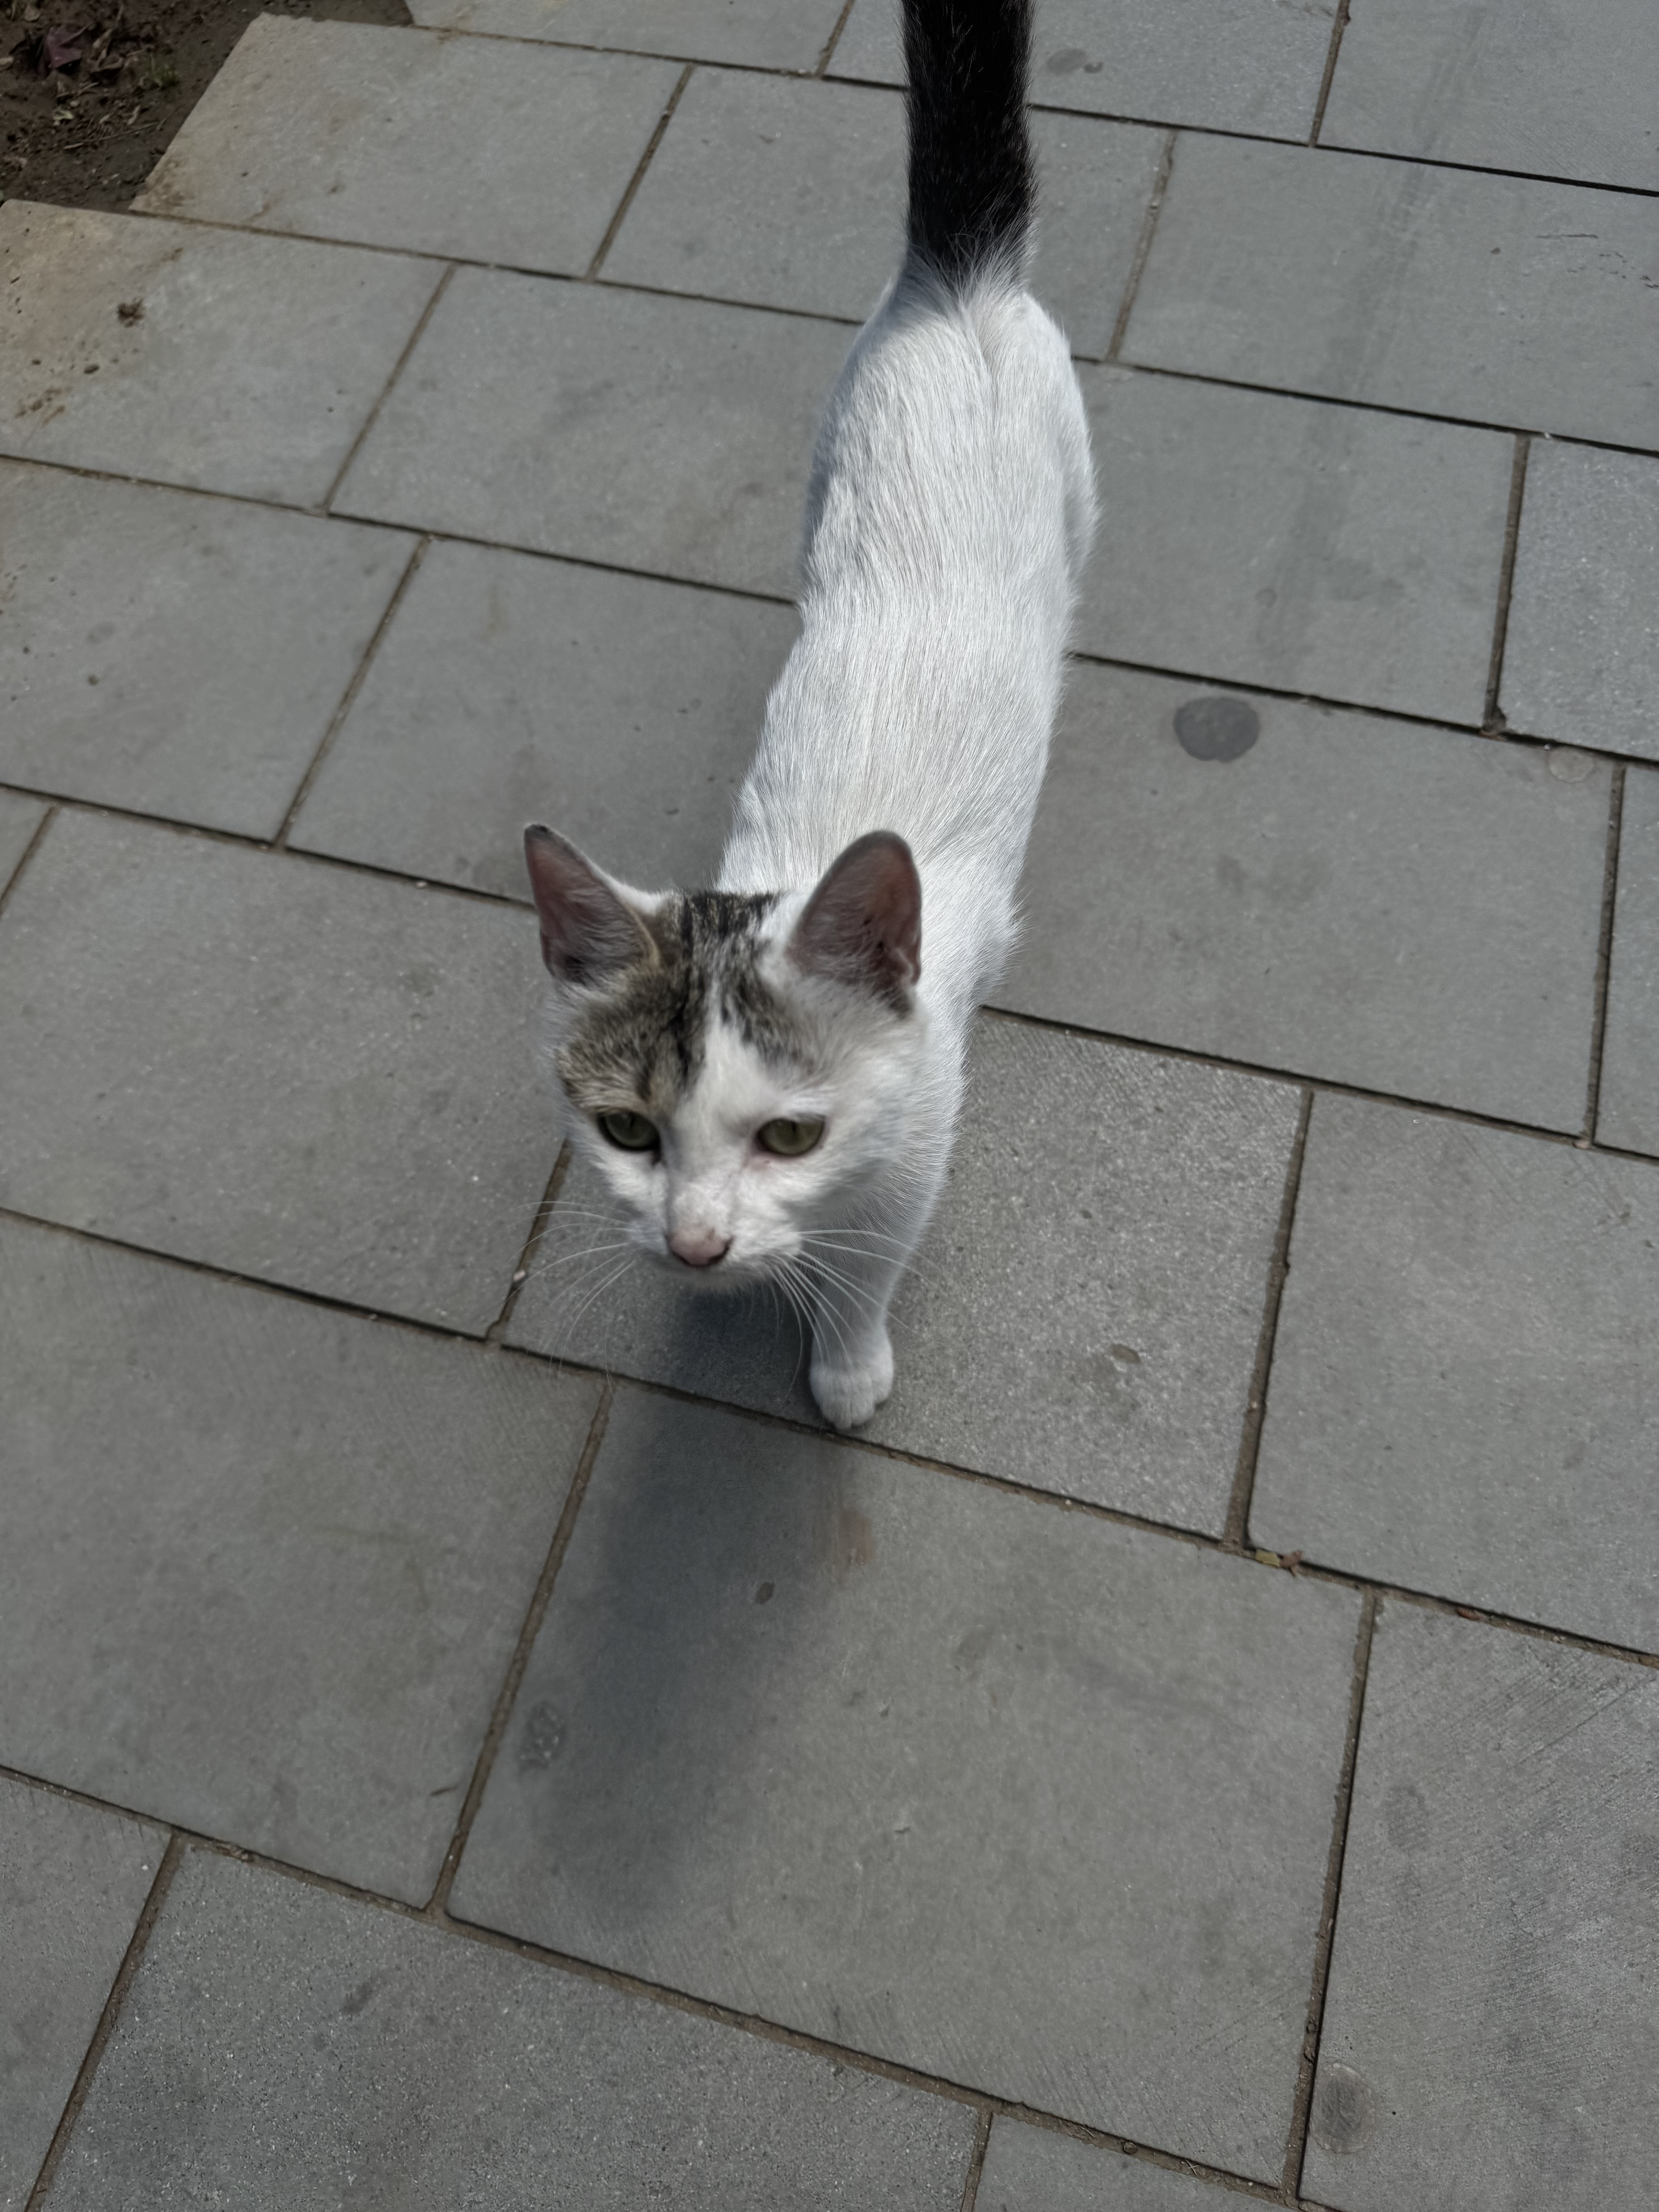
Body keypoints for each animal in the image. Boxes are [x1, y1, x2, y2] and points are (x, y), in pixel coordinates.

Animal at [523, 0, 1095, 1429]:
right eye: (627, 1130)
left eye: (789, 1135)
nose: (693, 1245)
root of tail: (955, 282)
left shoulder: (919, 1142)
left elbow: (871, 1252)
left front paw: (845, 1357)